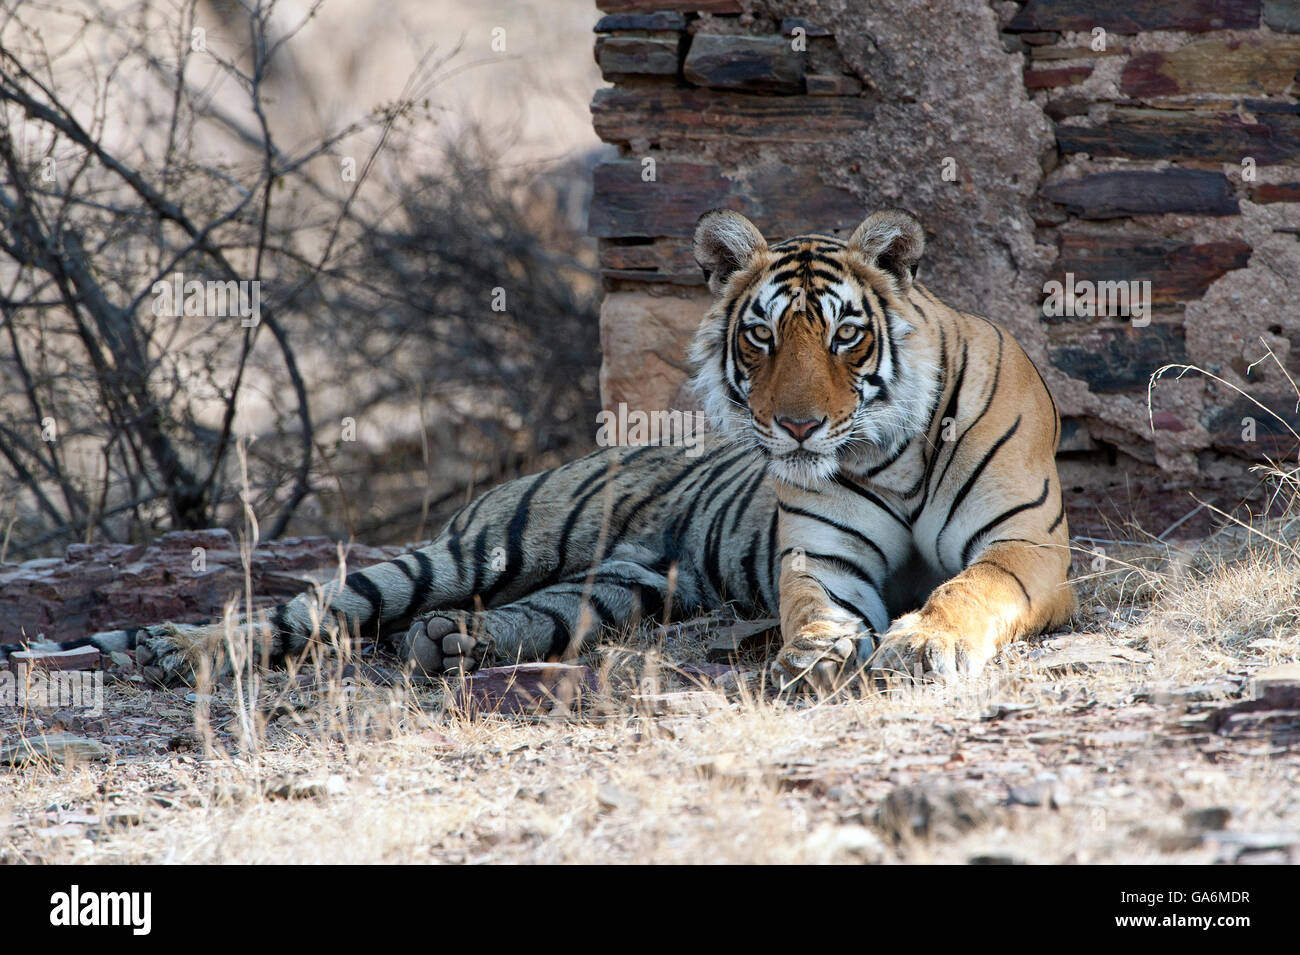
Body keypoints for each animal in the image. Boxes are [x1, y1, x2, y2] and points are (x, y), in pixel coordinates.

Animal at [5, 209, 1071, 691]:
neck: (893, 449)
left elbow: (966, 586)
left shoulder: (1028, 550)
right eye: (763, 337)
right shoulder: (820, 557)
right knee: (312, 608)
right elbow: (817, 607)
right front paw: (819, 651)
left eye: (846, 336)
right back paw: (179, 649)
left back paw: (452, 643)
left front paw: (920, 641)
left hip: (624, 584)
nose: (800, 427)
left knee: (520, 617)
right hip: (476, 547)